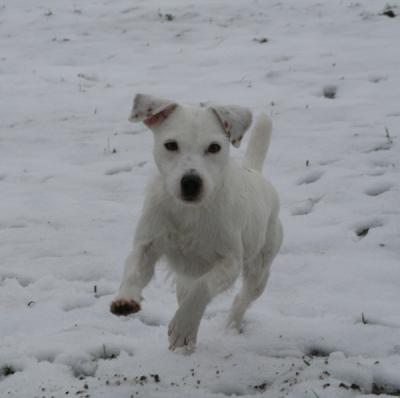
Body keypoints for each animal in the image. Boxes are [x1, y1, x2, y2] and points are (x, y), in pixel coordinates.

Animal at [111, 95, 282, 350]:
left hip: (259, 269)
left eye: (214, 147)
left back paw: (228, 328)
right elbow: (133, 270)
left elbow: (202, 289)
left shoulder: (229, 262)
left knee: (241, 299)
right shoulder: (147, 245)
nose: (191, 182)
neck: (189, 213)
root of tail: (255, 171)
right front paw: (125, 298)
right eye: (171, 145)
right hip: (185, 278)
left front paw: (183, 326)